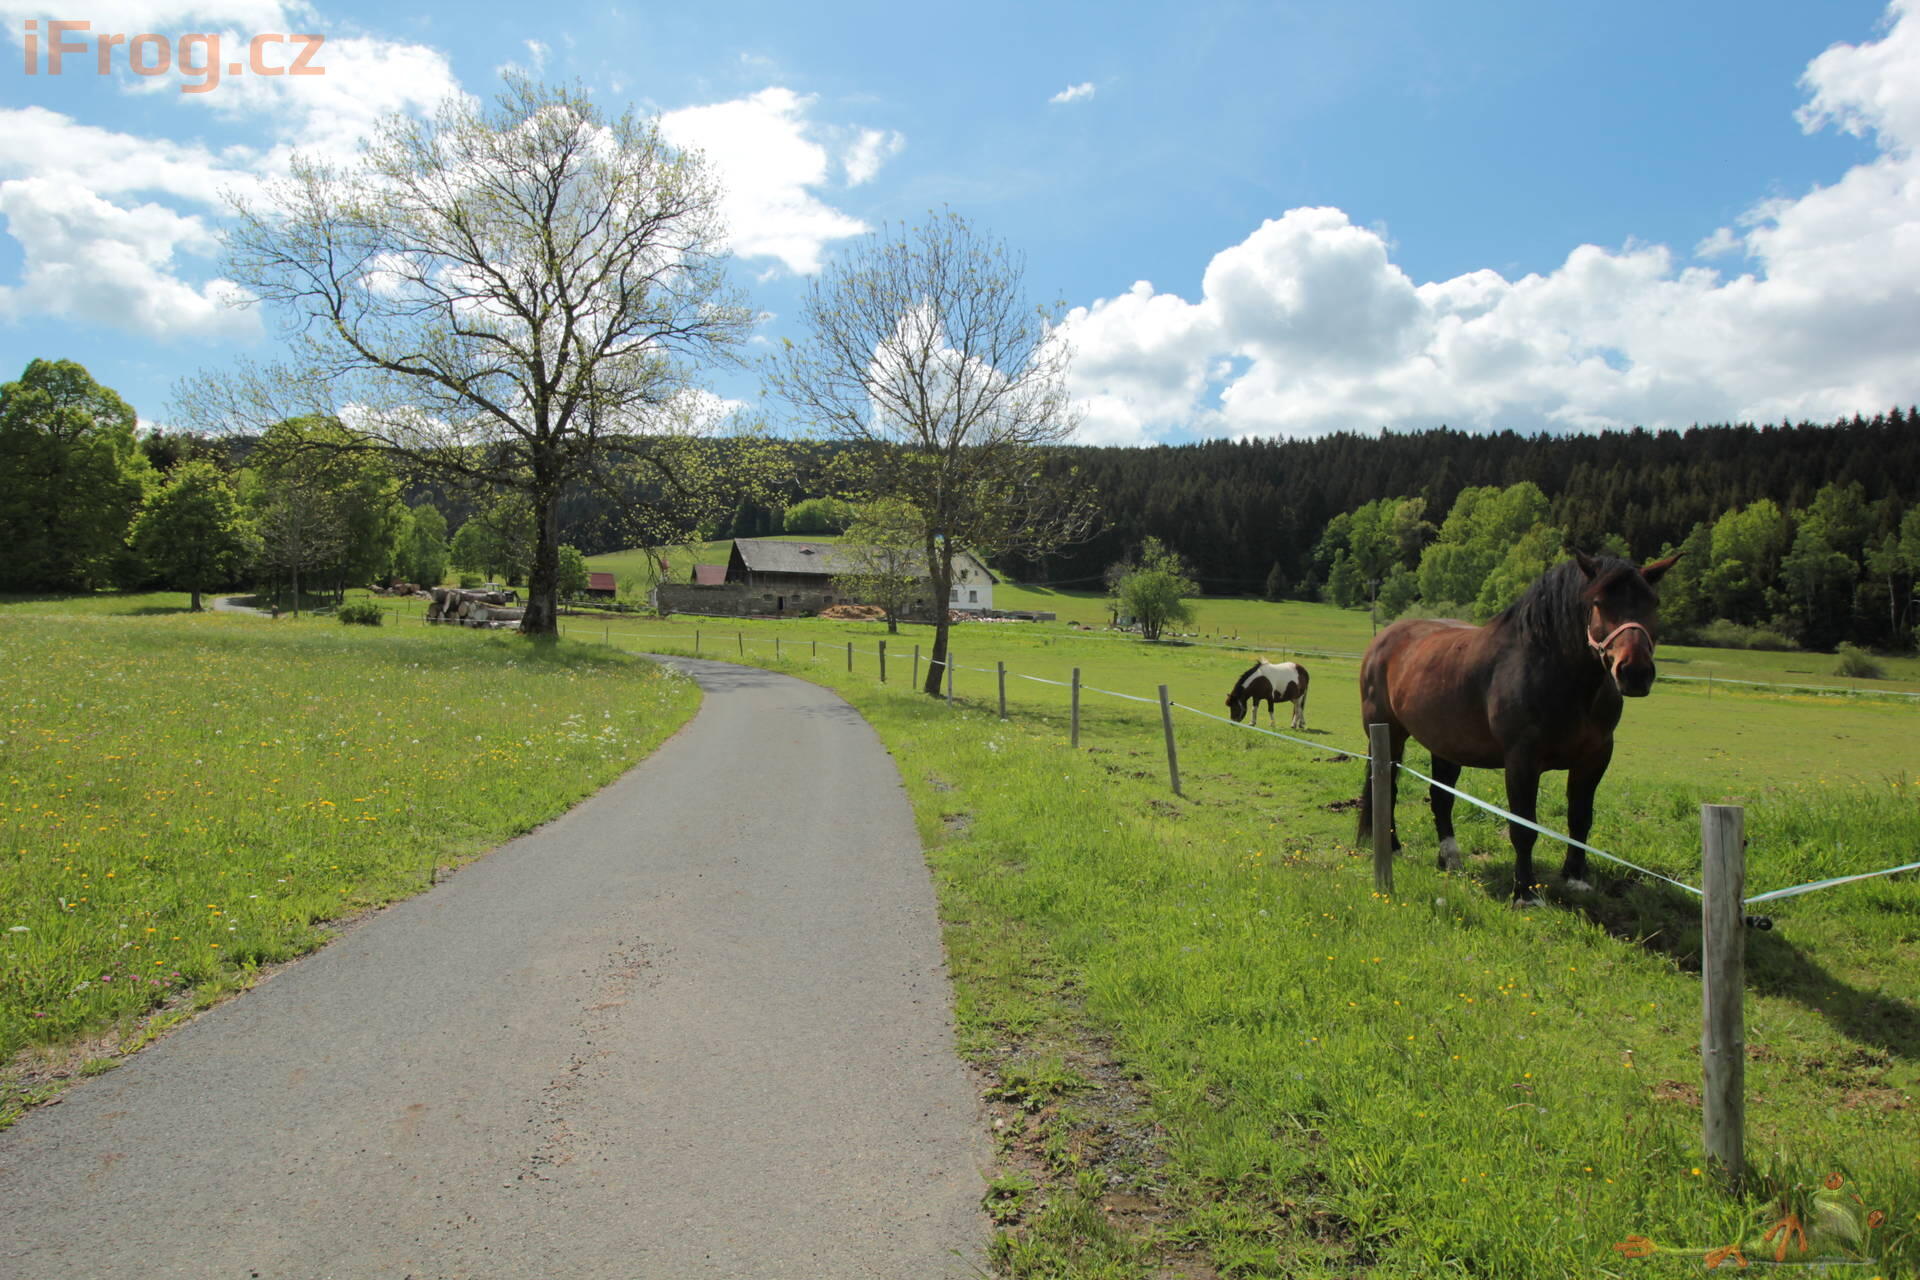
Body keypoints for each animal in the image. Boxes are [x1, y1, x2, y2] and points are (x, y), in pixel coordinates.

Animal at [1355, 551, 1677, 904]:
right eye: (1598, 602)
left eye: (1653, 602)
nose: (1635, 672)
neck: (1561, 679)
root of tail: (1382, 640)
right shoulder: (1522, 761)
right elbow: (1524, 827)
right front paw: (1525, 891)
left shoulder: (1594, 759)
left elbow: (1580, 819)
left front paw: (1575, 877)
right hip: (1388, 732)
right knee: (1385, 786)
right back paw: (1391, 846)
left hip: (1445, 744)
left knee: (1441, 797)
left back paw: (1450, 859)